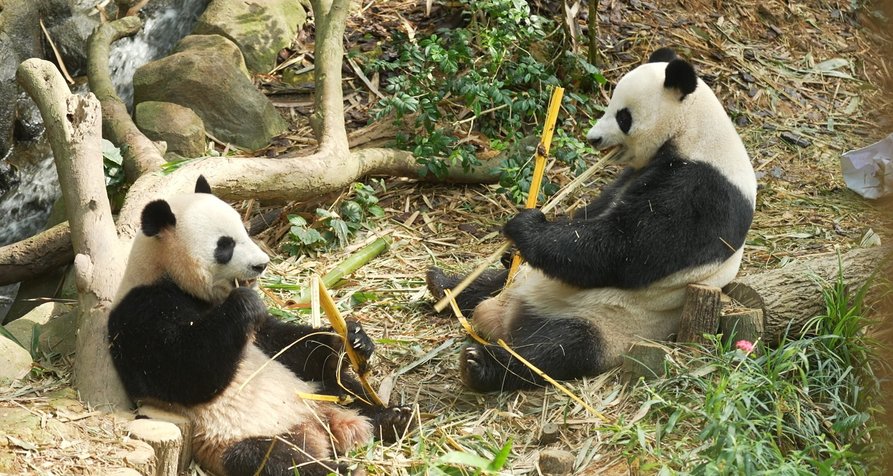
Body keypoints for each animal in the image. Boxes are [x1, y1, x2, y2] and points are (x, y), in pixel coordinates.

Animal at [108, 176, 414, 476]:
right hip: (234, 440)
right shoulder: (141, 311)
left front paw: (353, 338)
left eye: (246, 231)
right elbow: (185, 371)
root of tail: (318, 425)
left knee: (346, 390)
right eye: (225, 245)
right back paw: (341, 468)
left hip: (315, 390)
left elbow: (286, 345)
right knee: (275, 461)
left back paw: (394, 417)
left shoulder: (260, 336)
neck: (170, 277)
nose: (261, 264)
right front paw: (245, 302)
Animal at [427, 47, 757, 392]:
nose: (593, 138)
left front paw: (525, 226)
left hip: (605, 322)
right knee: (493, 282)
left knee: (555, 350)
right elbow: (594, 213)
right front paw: (511, 249)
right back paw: (443, 285)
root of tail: (503, 316)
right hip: (528, 283)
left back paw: (479, 364)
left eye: (623, 116)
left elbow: (627, 247)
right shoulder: (634, 175)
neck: (695, 132)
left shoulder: (702, 191)